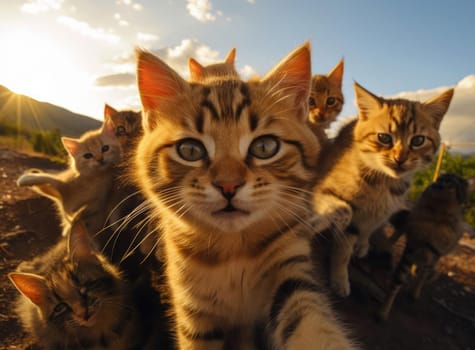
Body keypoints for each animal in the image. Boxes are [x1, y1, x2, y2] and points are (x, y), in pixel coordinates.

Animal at [134, 42, 356, 348]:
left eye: (264, 147)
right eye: (190, 150)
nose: (228, 185)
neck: (232, 251)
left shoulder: (289, 264)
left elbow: (308, 320)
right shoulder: (193, 308)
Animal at [314, 82, 456, 298]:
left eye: (418, 140)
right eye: (384, 138)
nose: (400, 158)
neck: (383, 183)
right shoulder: (335, 194)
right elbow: (343, 245)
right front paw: (339, 279)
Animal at [378, 173, 470, 320]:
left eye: (449, 182)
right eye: (439, 179)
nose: (436, 184)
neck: (437, 214)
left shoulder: (434, 252)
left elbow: (423, 275)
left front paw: (415, 291)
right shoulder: (412, 247)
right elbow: (397, 281)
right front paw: (383, 311)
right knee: (398, 232)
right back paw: (386, 245)